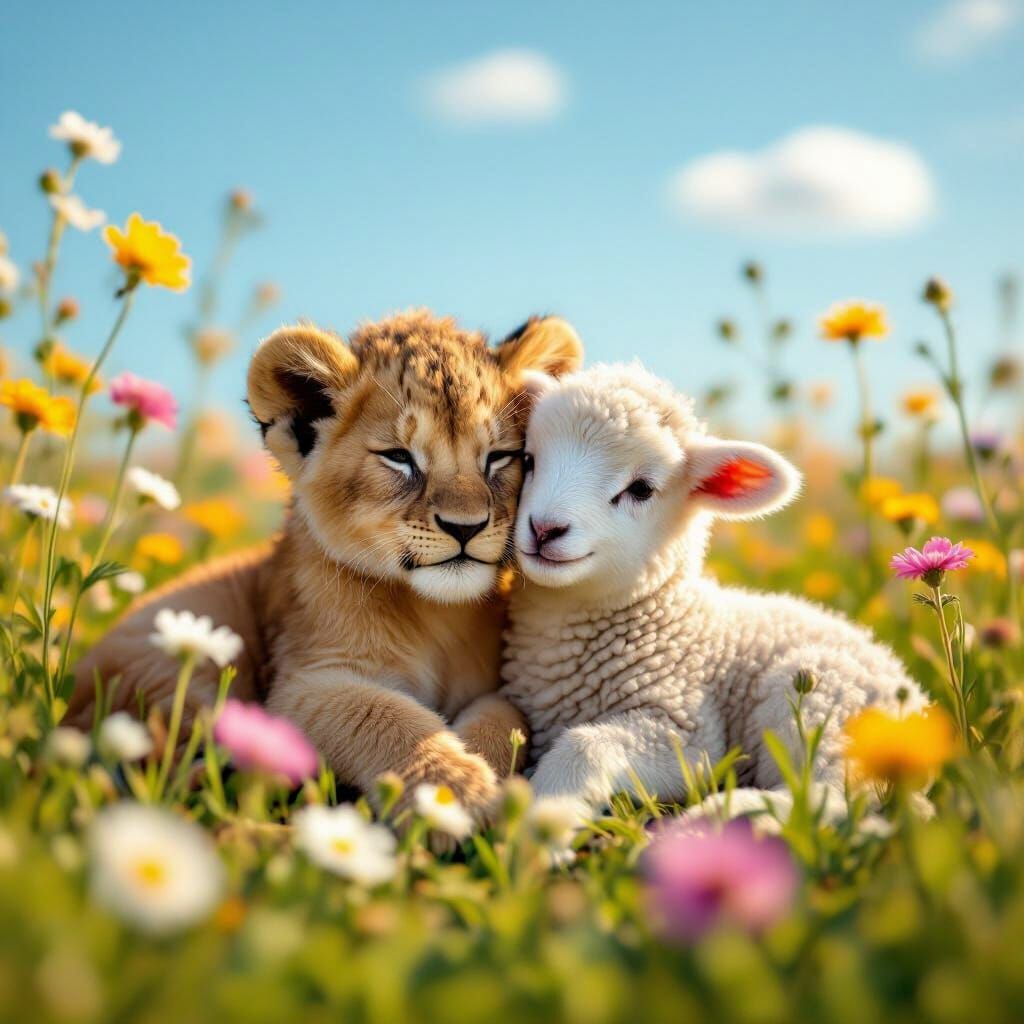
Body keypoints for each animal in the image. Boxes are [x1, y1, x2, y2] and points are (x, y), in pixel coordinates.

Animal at [69, 310, 583, 821]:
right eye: (398, 457)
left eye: (500, 457)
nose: (465, 527)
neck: (436, 613)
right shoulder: (302, 683)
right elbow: (382, 716)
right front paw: (453, 794)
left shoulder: (502, 688)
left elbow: (506, 720)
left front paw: (485, 778)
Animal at [500, 363, 926, 822]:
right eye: (529, 460)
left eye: (641, 489)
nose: (545, 529)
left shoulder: (691, 732)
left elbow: (586, 744)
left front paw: (544, 812)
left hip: (825, 703)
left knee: (830, 799)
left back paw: (725, 814)